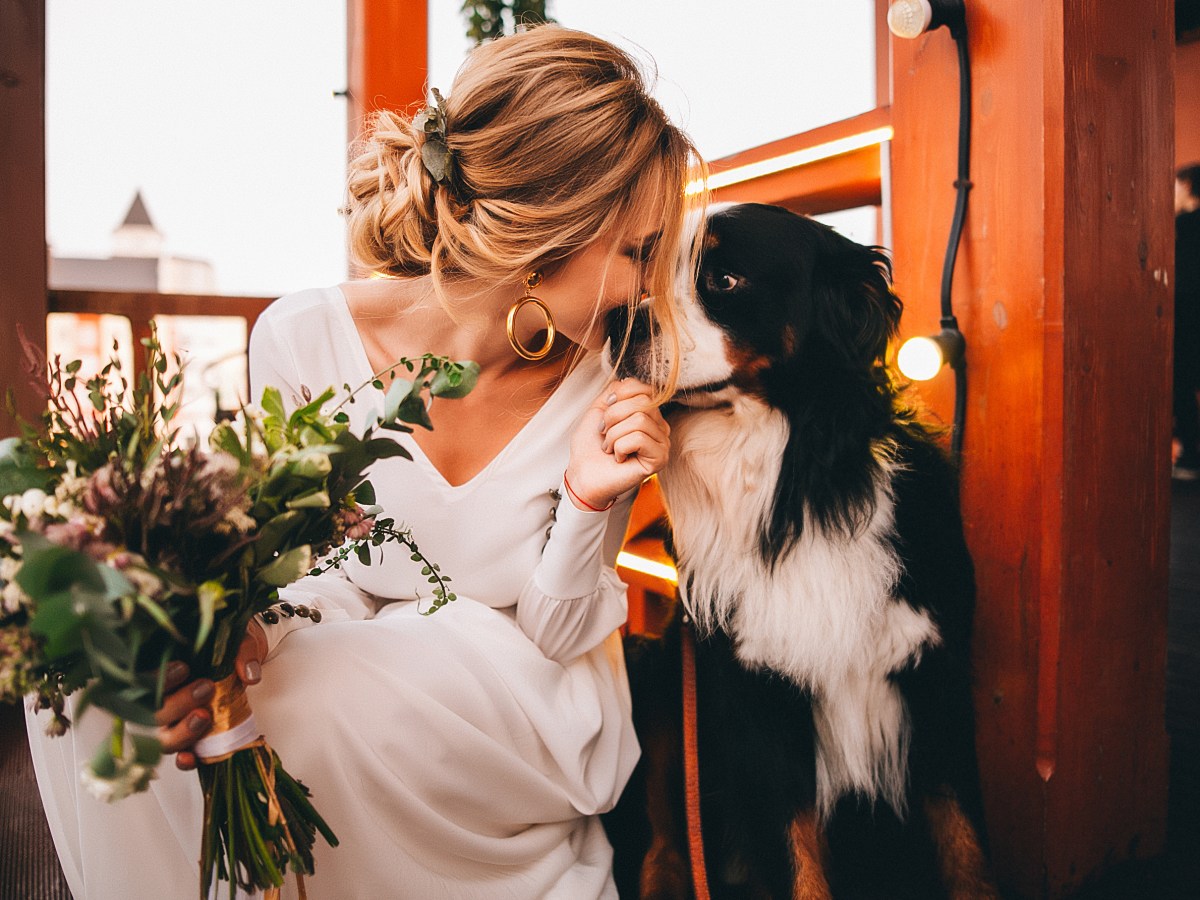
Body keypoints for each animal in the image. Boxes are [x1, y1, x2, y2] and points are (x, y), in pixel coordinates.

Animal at [604, 204, 998, 900]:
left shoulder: (937, 678)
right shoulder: (760, 701)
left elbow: (966, 847)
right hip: (657, 671)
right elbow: (798, 863)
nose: (613, 322)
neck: (799, 493)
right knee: (662, 838)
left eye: (723, 279)